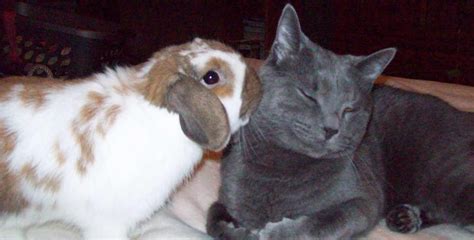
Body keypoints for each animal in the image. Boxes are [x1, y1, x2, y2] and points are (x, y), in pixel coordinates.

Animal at [207, 4, 474, 240]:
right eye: (309, 95)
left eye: (349, 109)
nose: (330, 129)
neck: (281, 168)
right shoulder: (226, 192)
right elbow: (213, 217)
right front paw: (237, 231)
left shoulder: (364, 201)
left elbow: (324, 222)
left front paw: (275, 232)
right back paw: (406, 217)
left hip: (447, 176)